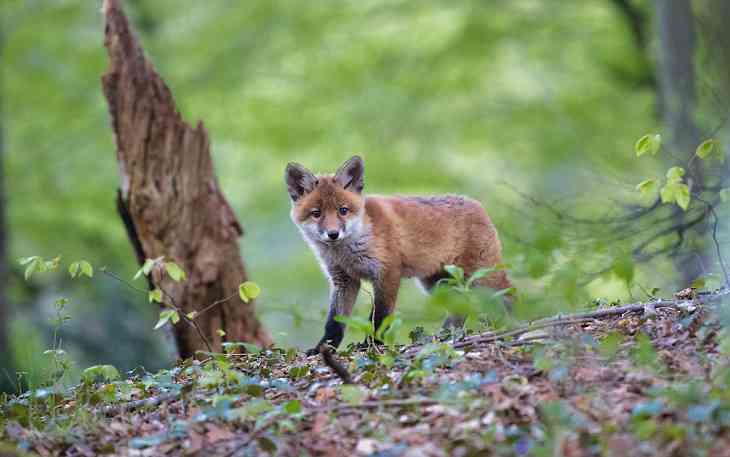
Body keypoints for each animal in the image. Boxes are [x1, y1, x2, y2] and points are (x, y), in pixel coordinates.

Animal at [284, 155, 512, 354]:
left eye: (343, 210)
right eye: (316, 213)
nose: (333, 234)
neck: (349, 250)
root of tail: (477, 204)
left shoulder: (387, 273)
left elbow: (380, 317)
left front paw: (372, 345)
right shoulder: (344, 280)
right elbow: (334, 323)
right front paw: (323, 348)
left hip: (482, 278)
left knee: (508, 294)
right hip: (438, 285)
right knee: (460, 309)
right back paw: (444, 337)